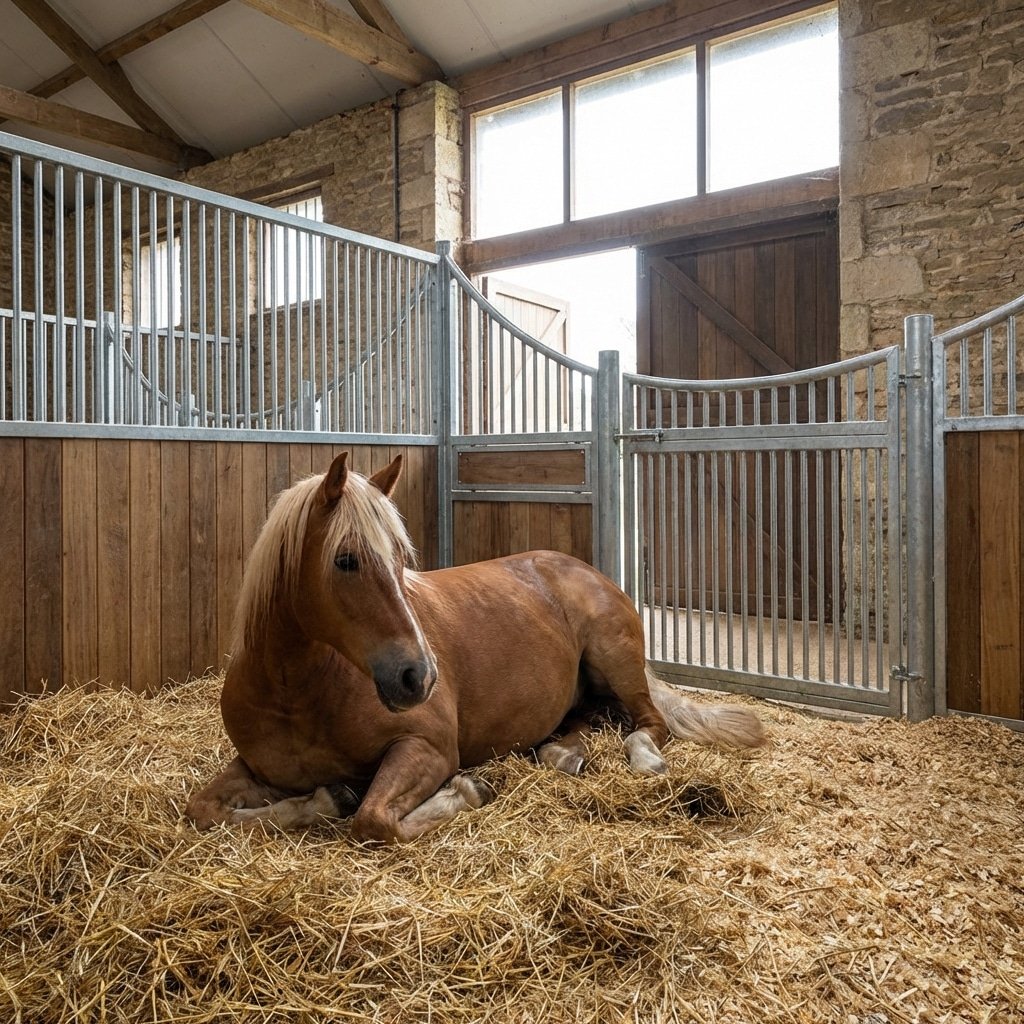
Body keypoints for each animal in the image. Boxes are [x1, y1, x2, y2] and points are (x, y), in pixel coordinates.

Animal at [185, 452, 767, 843]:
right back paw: (562, 755)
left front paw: (467, 791)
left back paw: (643, 759)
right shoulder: (254, 768)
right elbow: (203, 810)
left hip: (616, 659)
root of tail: (582, 568)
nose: (419, 676)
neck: (296, 693)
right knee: (584, 722)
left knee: (649, 722)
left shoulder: (428, 748)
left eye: (401, 558)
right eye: (345, 560)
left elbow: (374, 820)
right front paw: (325, 798)